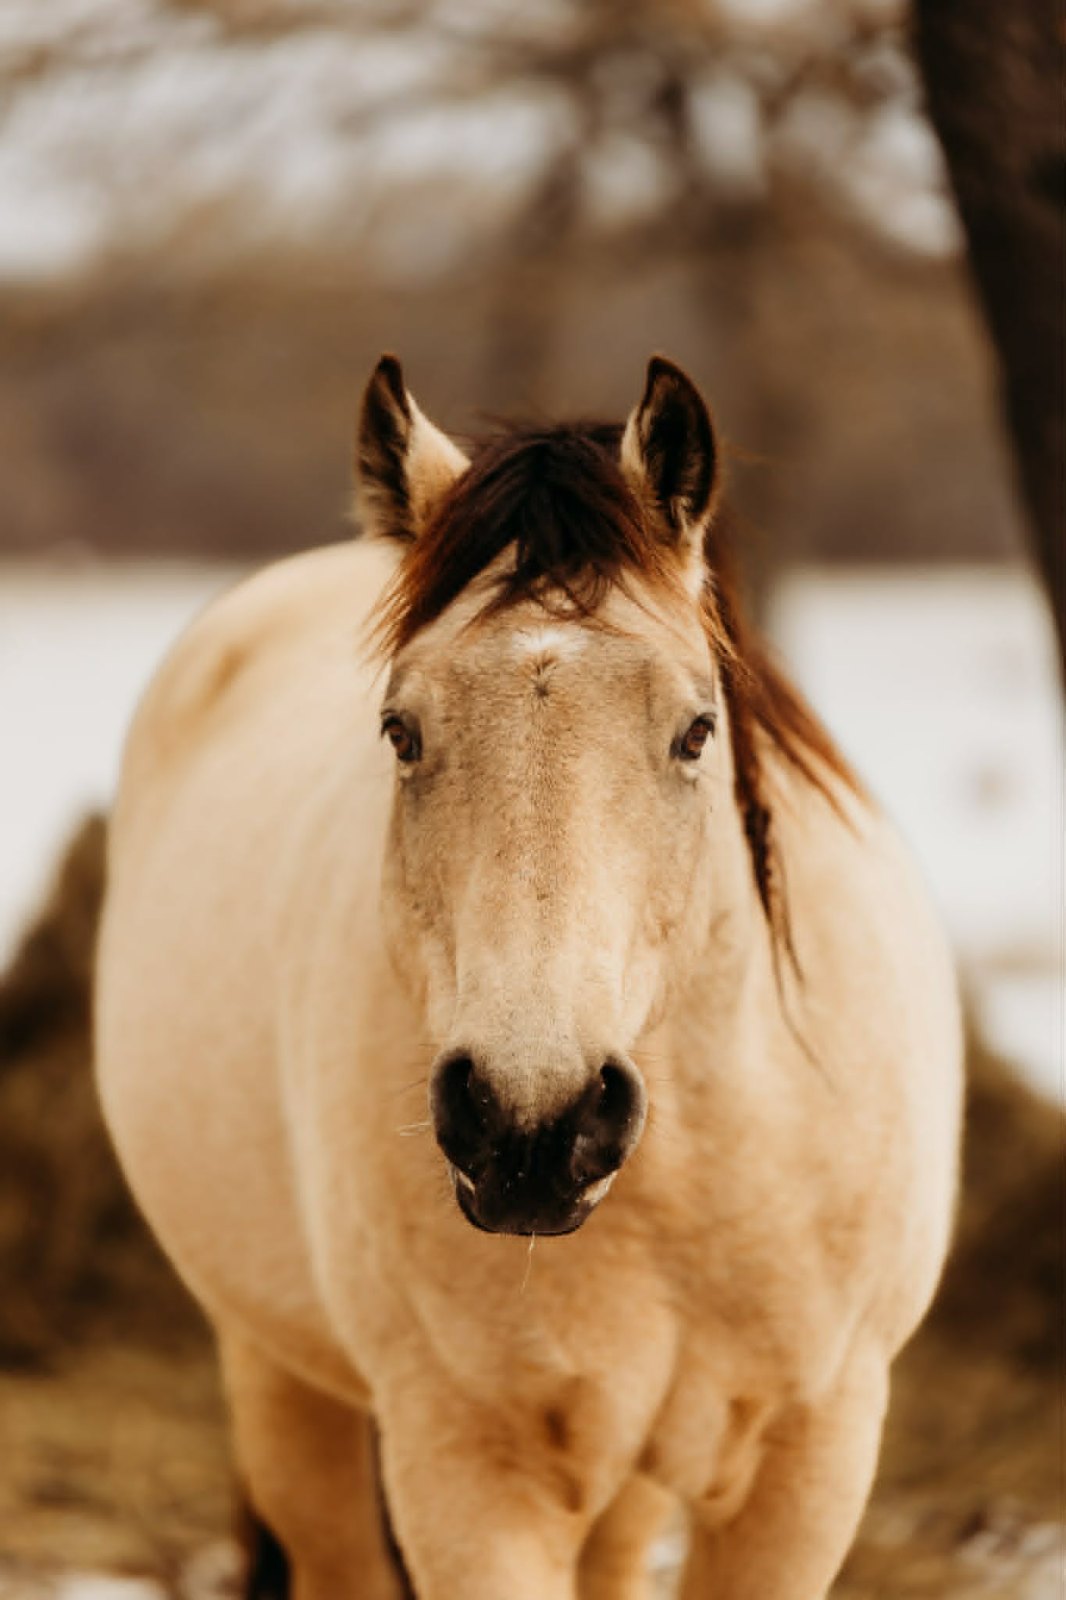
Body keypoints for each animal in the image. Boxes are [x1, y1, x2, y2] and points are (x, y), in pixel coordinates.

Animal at [94, 355, 962, 1600]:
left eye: (696, 731)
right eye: (400, 730)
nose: (531, 1122)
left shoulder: (809, 1460)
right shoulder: (468, 1468)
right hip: (276, 1369)